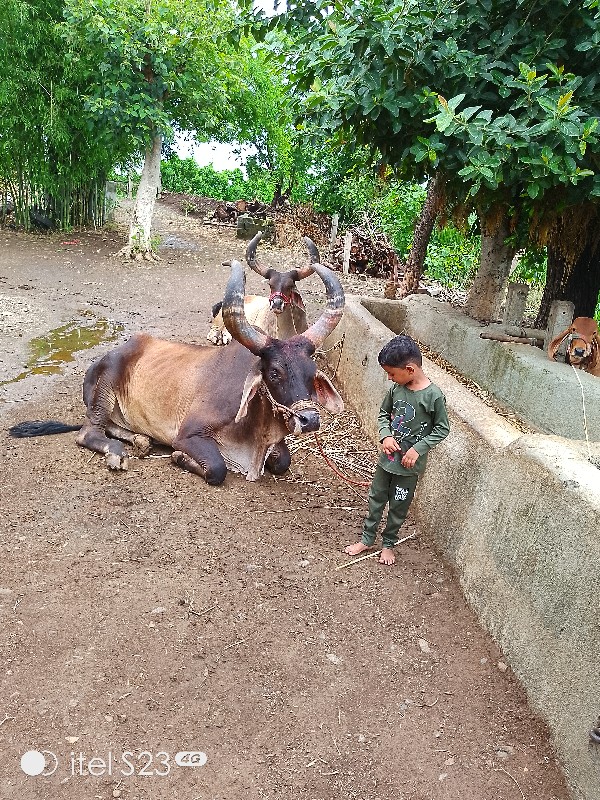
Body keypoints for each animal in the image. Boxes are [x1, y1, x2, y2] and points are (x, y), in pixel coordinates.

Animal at [9, 260, 344, 482]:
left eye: (312, 372)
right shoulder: (189, 434)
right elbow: (217, 469)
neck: (256, 436)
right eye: (274, 372)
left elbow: (283, 460)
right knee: (88, 431)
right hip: (105, 388)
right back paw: (118, 454)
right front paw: (180, 458)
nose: (310, 419)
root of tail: (105, 357)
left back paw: (140, 442)